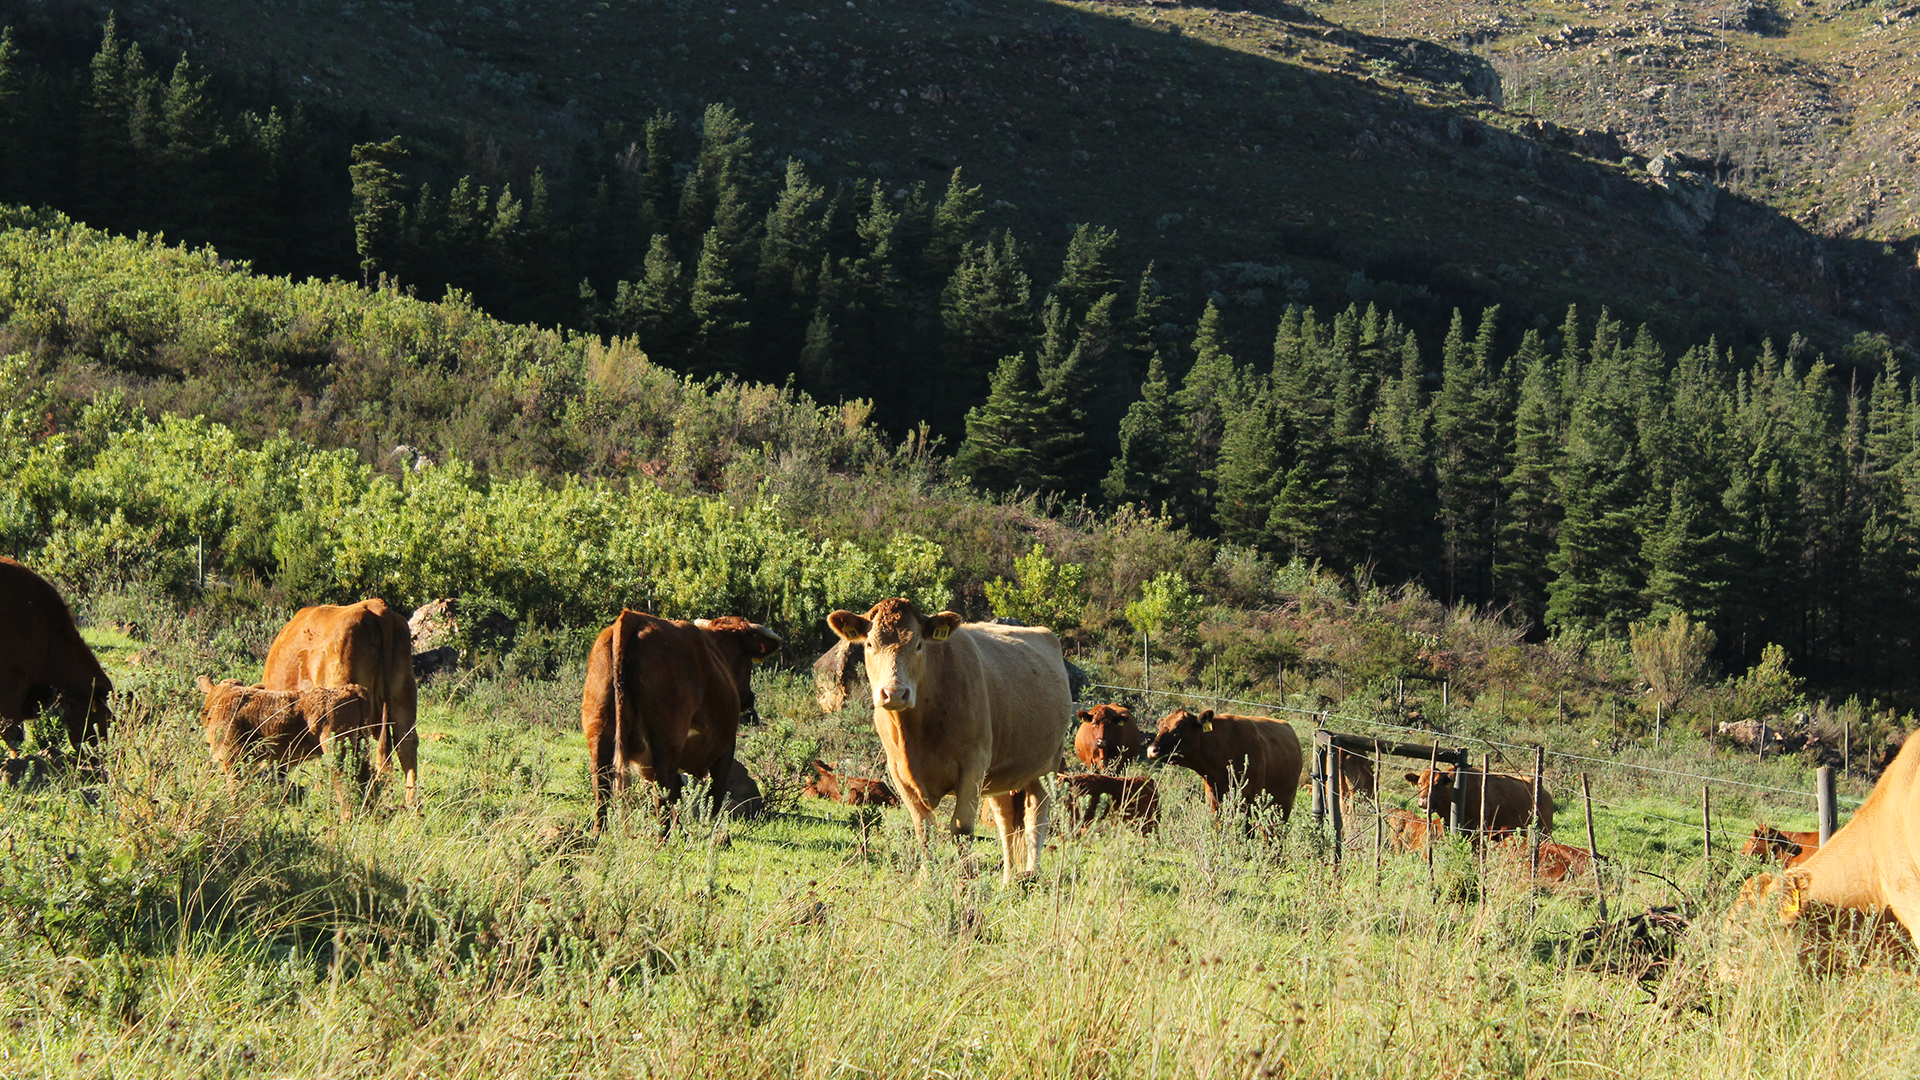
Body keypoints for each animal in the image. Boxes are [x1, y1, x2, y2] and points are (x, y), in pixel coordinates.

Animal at [582, 610, 782, 828]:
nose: (749, 698)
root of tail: (633, 617)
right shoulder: (725, 749)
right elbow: (715, 796)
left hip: (601, 733)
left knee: (601, 784)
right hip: (667, 741)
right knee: (662, 790)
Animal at [825, 598, 1072, 882]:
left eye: (919, 644)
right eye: (869, 645)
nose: (895, 693)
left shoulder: (973, 765)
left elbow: (962, 828)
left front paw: (965, 881)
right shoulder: (897, 772)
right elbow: (924, 828)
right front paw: (926, 879)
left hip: (1046, 768)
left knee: (1036, 819)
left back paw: (1032, 875)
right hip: (1000, 777)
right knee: (1006, 823)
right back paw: (1008, 880)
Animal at [1143, 708, 1301, 828]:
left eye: (1180, 727)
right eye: (1160, 726)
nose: (1152, 750)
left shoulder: (1249, 801)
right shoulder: (1214, 800)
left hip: (1283, 805)